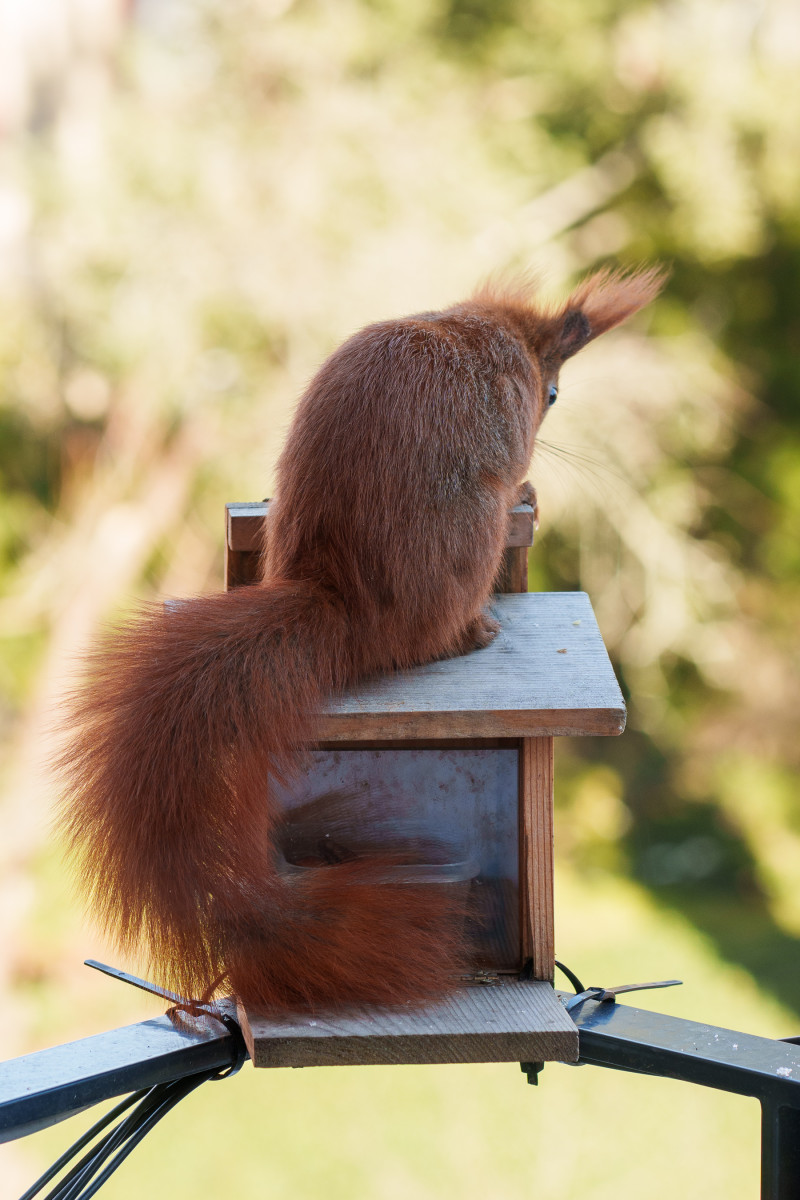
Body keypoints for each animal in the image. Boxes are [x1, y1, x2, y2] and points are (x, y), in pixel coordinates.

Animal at [56, 270, 662, 1012]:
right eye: (550, 395)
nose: (552, 405)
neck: (494, 328)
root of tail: (345, 609)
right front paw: (531, 486)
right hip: (471, 537)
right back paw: (476, 630)